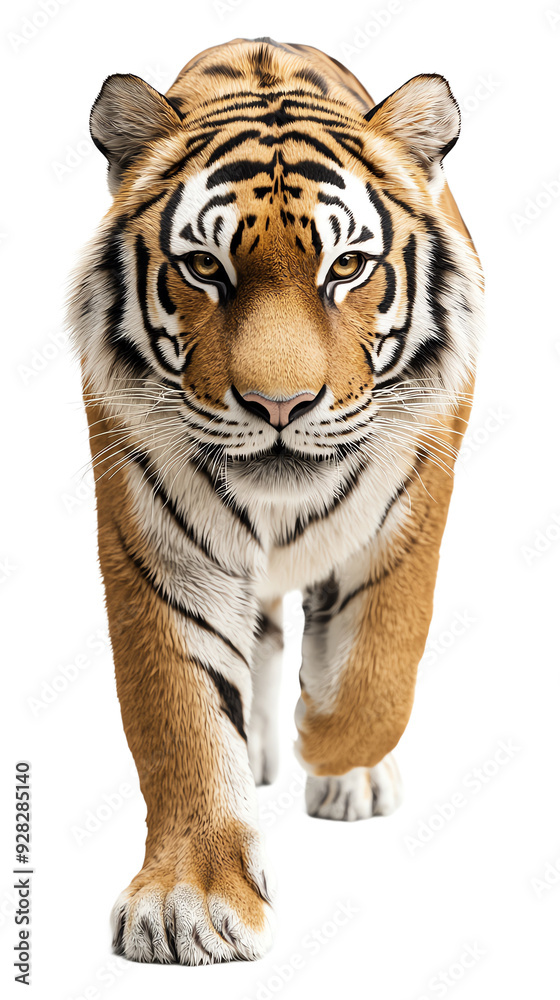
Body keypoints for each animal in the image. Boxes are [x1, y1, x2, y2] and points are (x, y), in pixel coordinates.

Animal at [68, 37, 483, 965]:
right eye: (204, 268)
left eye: (348, 267)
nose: (280, 405)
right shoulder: (159, 542)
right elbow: (182, 715)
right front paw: (187, 903)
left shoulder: (415, 491)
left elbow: (376, 668)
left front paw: (324, 740)